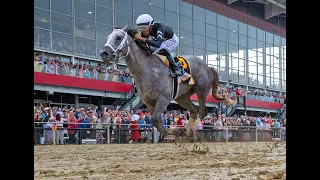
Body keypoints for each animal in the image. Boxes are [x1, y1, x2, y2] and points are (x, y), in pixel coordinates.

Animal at [99, 25, 234, 138]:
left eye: (118, 37)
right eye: (108, 37)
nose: (103, 53)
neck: (147, 69)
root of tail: (208, 67)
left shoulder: (163, 99)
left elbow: (155, 119)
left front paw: (178, 131)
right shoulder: (149, 103)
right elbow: (156, 122)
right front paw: (179, 131)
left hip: (201, 91)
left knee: (202, 111)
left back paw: (191, 130)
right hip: (182, 97)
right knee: (194, 111)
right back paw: (188, 132)